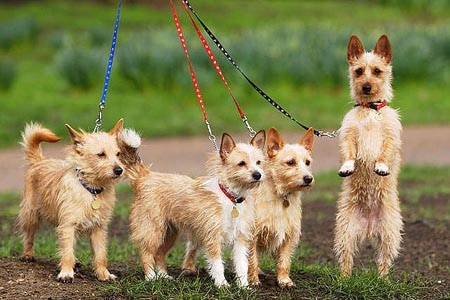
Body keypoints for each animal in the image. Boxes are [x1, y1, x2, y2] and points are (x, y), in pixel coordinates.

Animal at [18, 119, 125, 282]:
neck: (92, 190)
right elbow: (67, 251)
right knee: (29, 235)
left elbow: (100, 254)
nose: (119, 170)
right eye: (101, 154)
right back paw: (28, 255)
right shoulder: (68, 225)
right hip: (30, 214)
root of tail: (39, 161)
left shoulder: (98, 228)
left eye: (118, 154)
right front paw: (66, 273)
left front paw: (104, 274)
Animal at [118, 128, 268, 286]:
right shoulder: (213, 237)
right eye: (241, 163)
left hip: (169, 234)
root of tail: (145, 177)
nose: (258, 175)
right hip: (153, 230)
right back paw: (151, 277)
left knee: (159, 254)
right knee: (146, 253)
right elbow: (217, 264)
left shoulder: (241, 238)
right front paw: (222, 284)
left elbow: (241, 265)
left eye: (259, 162)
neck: (231, 197)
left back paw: (164, 276)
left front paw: (243, 286)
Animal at [244, 127, 314, 288]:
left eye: (307, 162)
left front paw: (284, 280)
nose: (309, 179)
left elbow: (284, 262)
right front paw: (253, 280)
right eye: (290, 162)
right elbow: (252, 260)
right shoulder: (252, 235)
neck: (281, 195)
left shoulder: (289, 235)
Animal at [334, 34, 404, 278]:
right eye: (358, 71)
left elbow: (384, 152)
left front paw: (381, 166)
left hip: (391, 234)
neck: (370, 109)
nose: (366, 86)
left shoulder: (390, 137)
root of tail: (369, 228)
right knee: (346, 259)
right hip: (345, 232)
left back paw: (384, 281)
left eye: (377, 71)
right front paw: (347, 167)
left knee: (384, 261)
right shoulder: (348, 135)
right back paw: (343, 280)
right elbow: (349, 152)